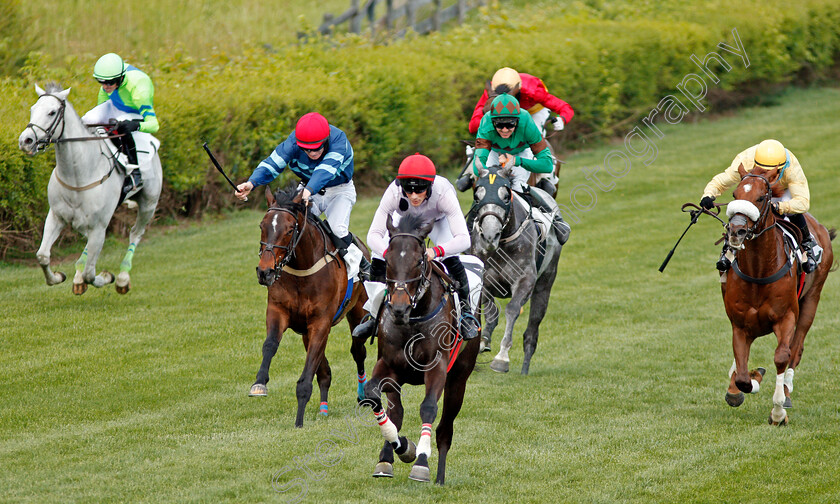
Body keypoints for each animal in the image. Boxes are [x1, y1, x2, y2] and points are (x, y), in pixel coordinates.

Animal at [17, 83, 162, 296]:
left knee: (135, 233)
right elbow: (42, 255)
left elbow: (90, 274)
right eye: (32, 109)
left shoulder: (99, 227)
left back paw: (122, 279)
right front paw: (58, 276)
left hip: (148, 204)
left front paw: (107, 277)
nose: (26, 141)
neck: (78, 174)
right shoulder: (56, 216)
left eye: (52, 112)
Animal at [248, 187, 370, 428]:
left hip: (358, 312)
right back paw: (323, 408)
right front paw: (259, 383)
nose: (265, 272)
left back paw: (363, 396)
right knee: (324, 369)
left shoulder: (320, 322)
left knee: (358, 352)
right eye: (262, 226)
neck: (302, 269)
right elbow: (270, 345)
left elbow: (307, 374)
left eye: (289, 229)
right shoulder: (279, 312)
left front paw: (299, 420)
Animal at [362, 213, 480, 484]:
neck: (412, 321)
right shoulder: (388, 366)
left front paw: (422, 463)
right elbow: (373, 395)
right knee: (397, 412)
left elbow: (428, 408)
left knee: (445, 428)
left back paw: (440, 477)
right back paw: (387, 458)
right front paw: (403, 448)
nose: (399, 309)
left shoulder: (437, 367)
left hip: (459, 378)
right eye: (388, 261)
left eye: (418, 261)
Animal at [470, 162, 560, 374]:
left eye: (505, 195)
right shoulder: (485, 280)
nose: (490, 236)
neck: (502, 245)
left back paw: (525, 369)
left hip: (545, 284)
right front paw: (483, 342)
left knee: (532, 331)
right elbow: (491, 313)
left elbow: (512, 309)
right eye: (477, 196)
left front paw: (501, 358)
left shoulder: (525, 280)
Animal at [720, 165, 832, 426]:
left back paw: (787, 392)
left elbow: (782, 356)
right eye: (734, 194)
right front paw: (746, 382)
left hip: (811, 300)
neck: (759, 269)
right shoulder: (740, 324)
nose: (736, 231)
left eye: (761, 198)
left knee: (796, 349)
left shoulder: (786, 316)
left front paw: (778, 412)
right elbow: (742, 374)